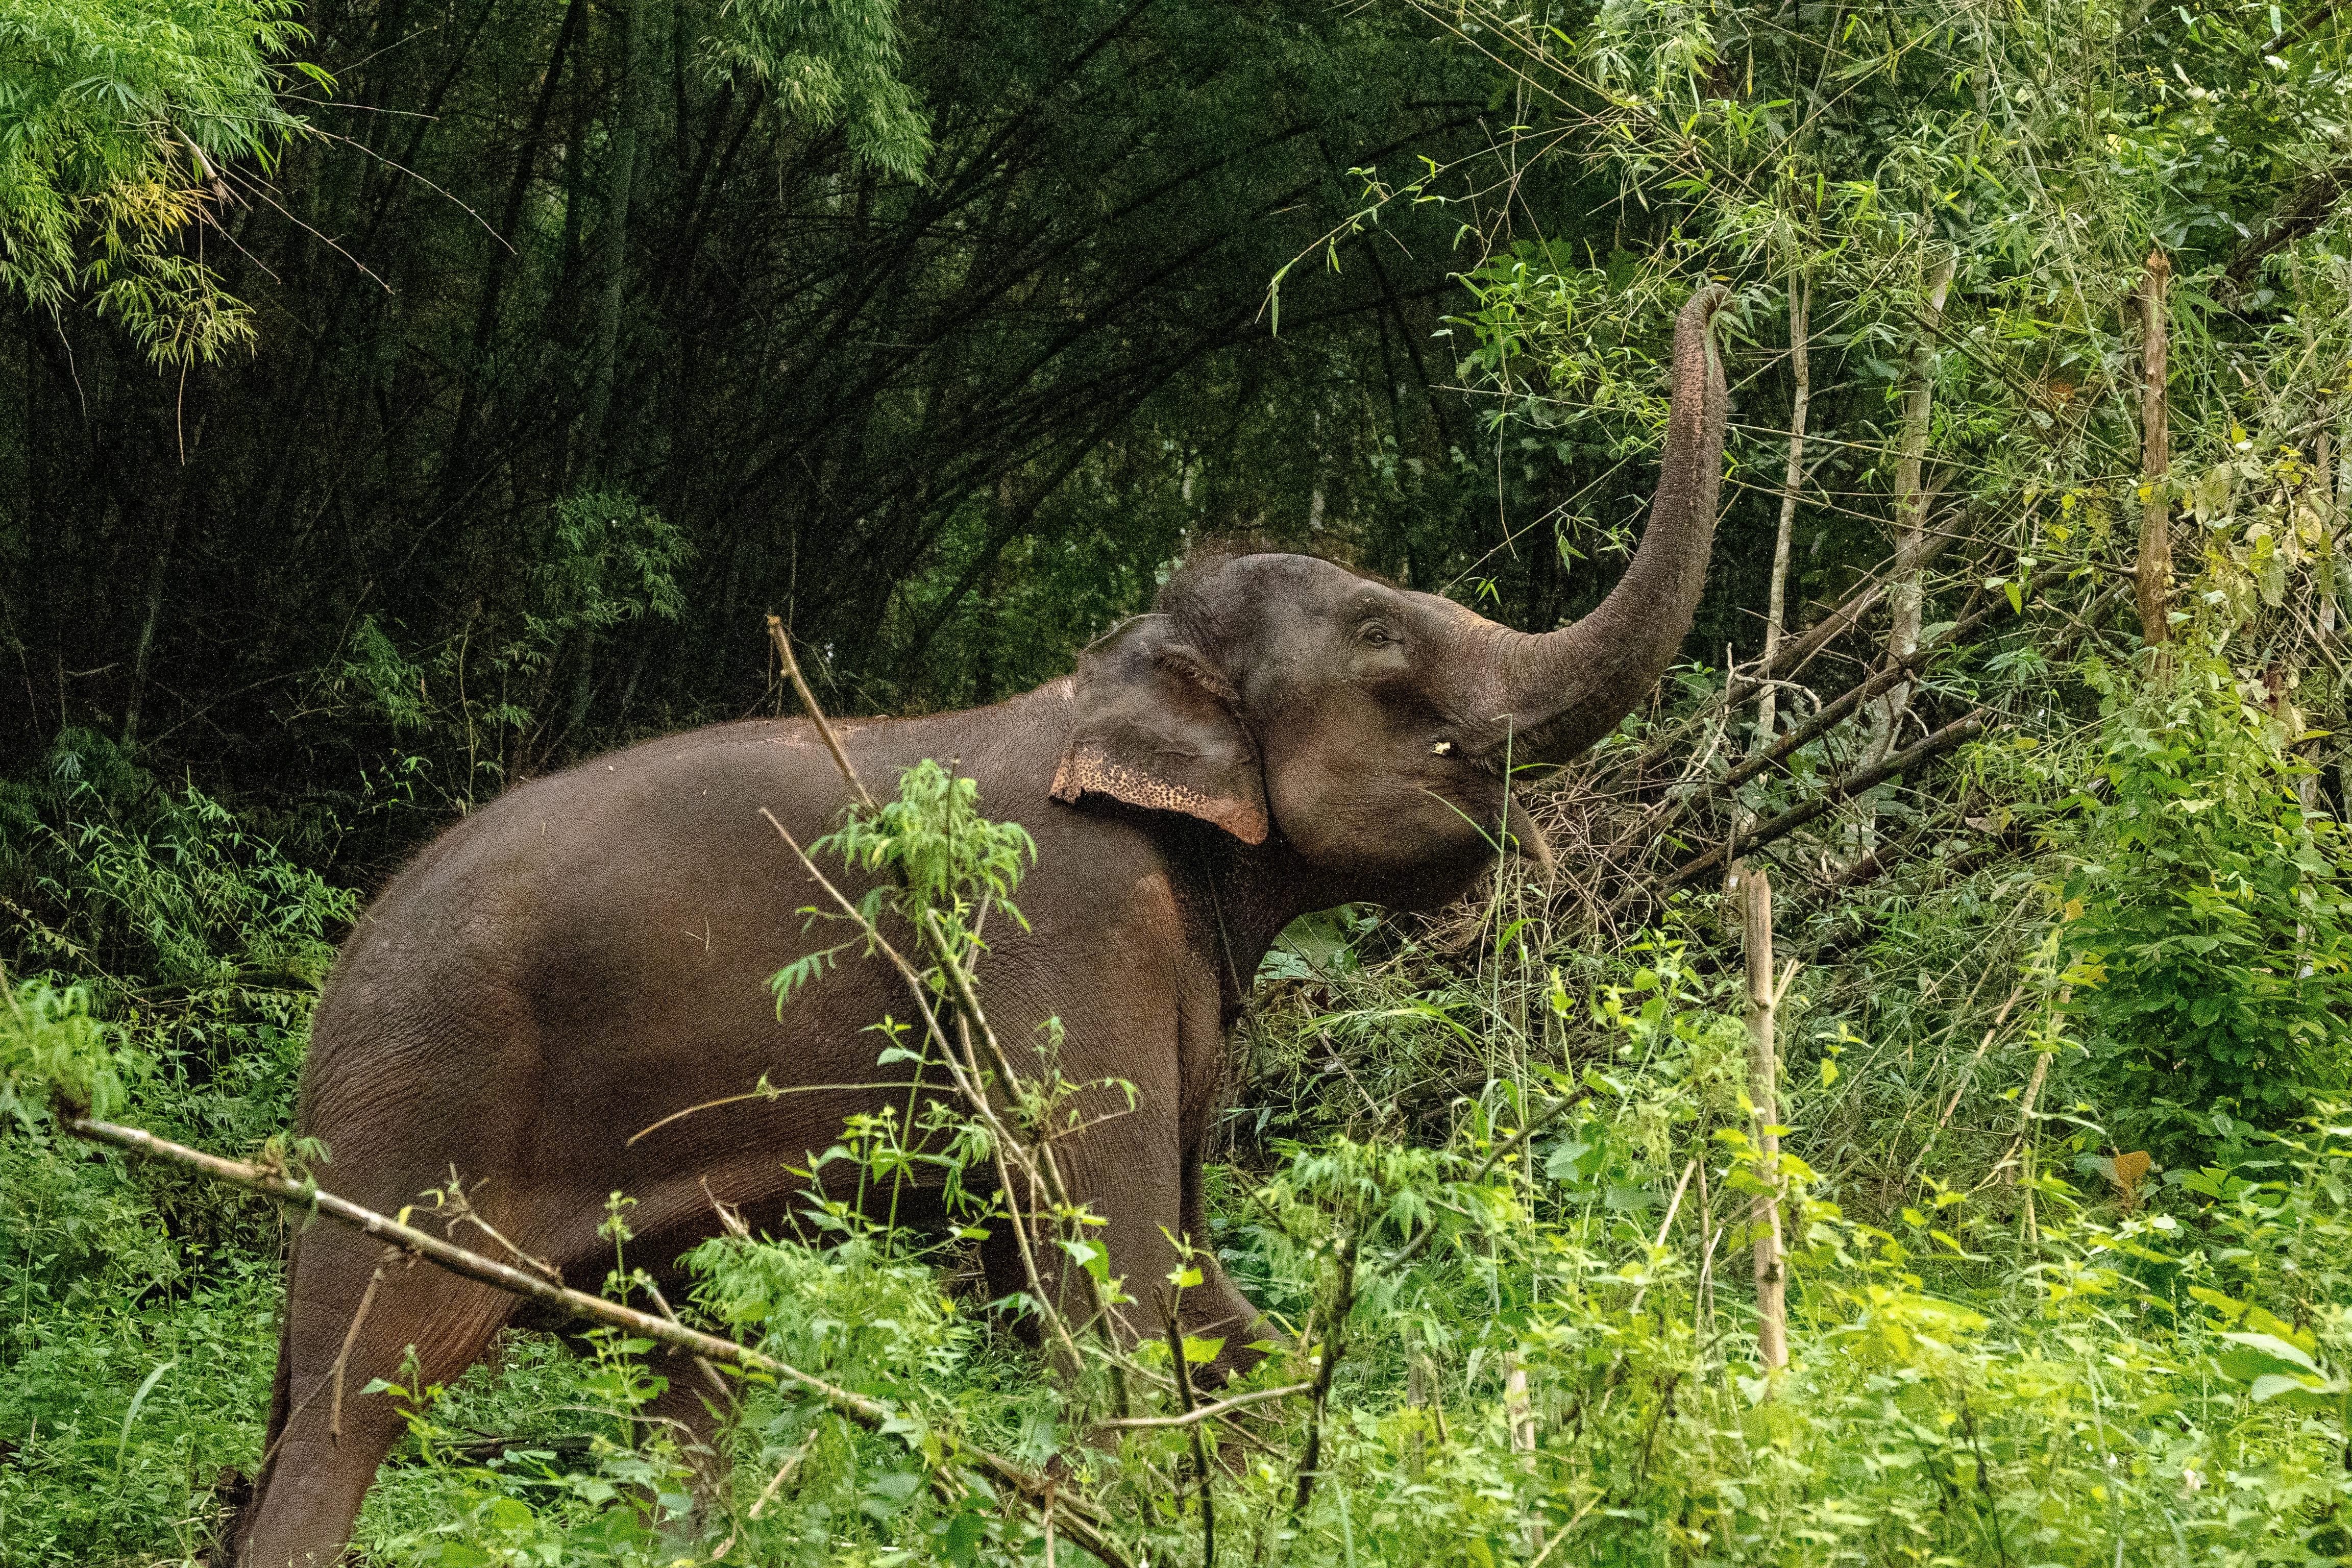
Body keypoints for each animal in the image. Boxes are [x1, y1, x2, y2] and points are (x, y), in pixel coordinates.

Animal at [230, 284, 1725, 1566]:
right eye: (1381, 641)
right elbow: (1111, 1260)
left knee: (677, 1371)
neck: (1100, 684)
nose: (1704, 297)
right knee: (361, 1387)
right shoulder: (1067, 928)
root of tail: (338, 977)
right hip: (421, 1099)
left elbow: (1173, 1275)